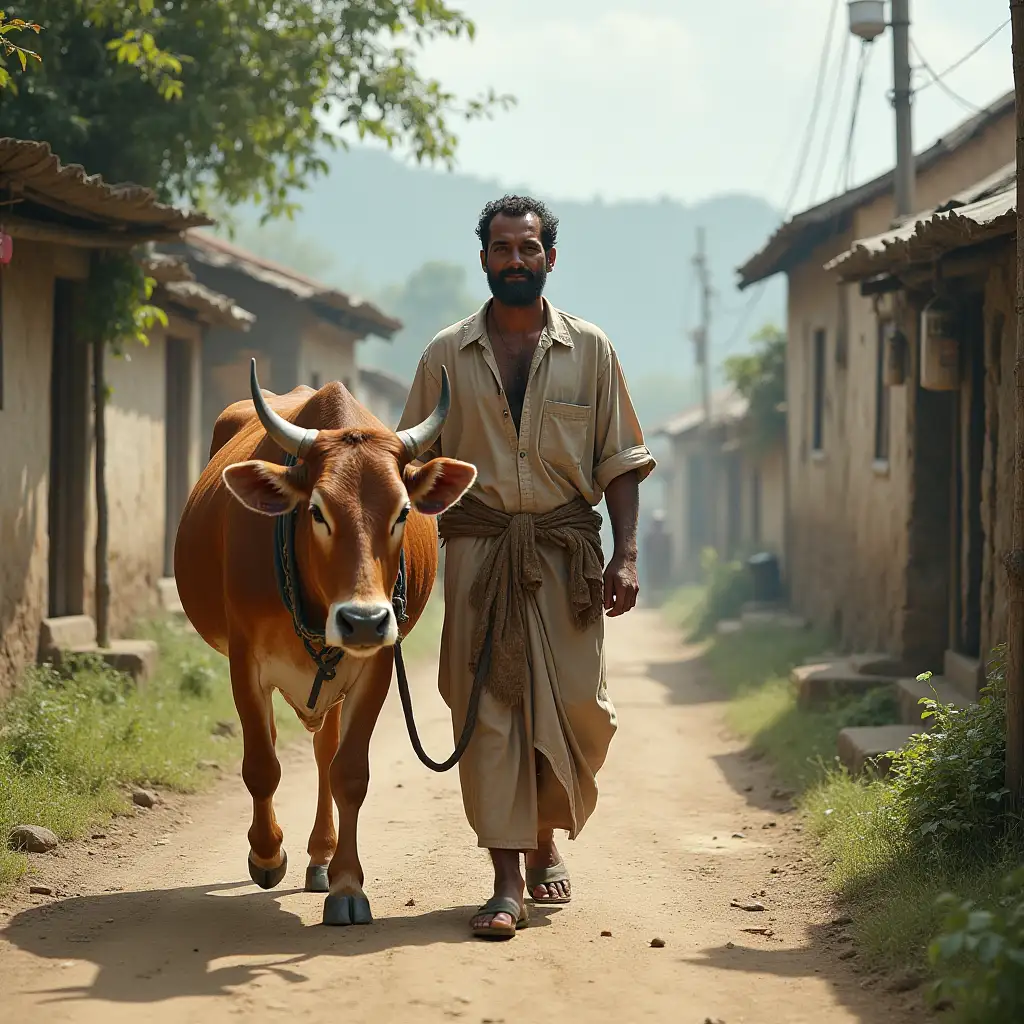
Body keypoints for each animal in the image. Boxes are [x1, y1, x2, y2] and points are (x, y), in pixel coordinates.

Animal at [175, 362, 475, 929]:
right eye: (316, 511)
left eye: (403, 512)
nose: (363, 621)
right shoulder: (244, 662)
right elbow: (262, 765)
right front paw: (267, 855)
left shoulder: (376, 664)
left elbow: (349, 773)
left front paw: (347, 885)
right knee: (277, 744)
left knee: (323, 754)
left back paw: (320, 856)